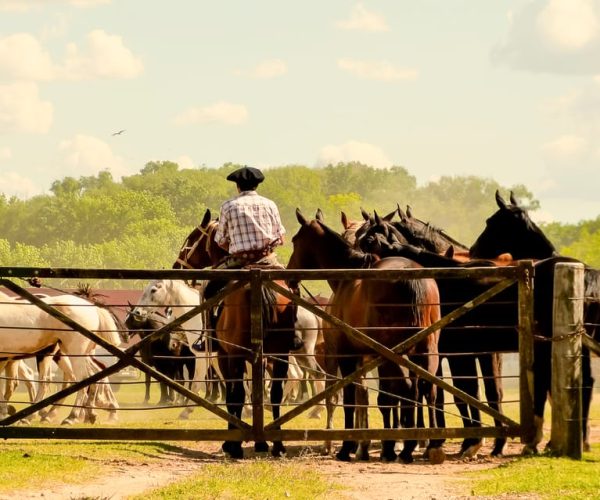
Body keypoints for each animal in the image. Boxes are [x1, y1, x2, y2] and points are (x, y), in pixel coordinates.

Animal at [286, 208, 446, 464]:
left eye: (295, 240)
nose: (289, 276)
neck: (346, 278)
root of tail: (412, 278)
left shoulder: (346, 356)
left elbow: (351, 398)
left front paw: (347, 447)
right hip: (425, 350)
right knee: (426, 388)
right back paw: (431, 444)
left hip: (394, 354)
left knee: (405, 390)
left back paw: (403, 447)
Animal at [468, 189, 600, 452]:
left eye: (491, 221)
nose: (472, 250)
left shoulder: (542, 343)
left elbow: (542, 380)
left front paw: (535, 439)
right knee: (587, 381)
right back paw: (581, 439)